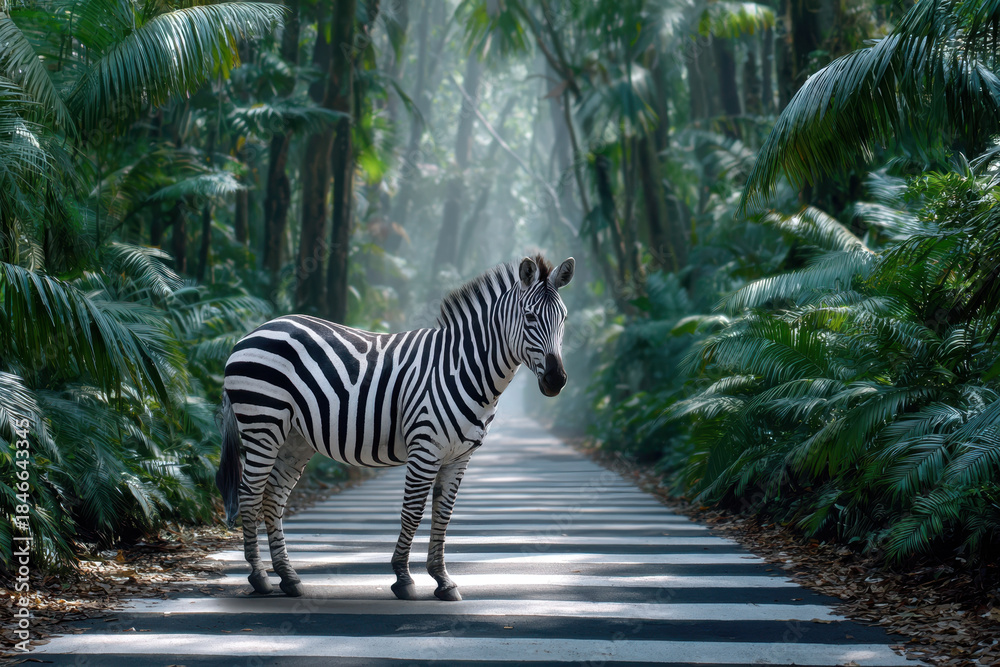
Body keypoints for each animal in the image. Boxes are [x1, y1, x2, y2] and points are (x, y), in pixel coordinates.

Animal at [215, 254, 574, 601]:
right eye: (529, 317)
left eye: (564, 319)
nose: (556, 380)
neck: (464, 367)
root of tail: (251, 333)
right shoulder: (425, 448)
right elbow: (413, 512)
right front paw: (403, 579)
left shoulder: (459, 457)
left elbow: (443, 515)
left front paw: (443, 581)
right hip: (263, 423)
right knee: (250, 493)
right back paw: (259, 577)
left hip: (294, 438)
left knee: (273, 496)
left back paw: (288, 578)